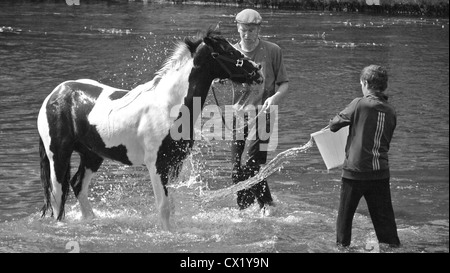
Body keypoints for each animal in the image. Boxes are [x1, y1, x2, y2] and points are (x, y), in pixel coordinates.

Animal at [38, 29, 264, 230]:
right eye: (226, 50)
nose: (257, 70)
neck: (168, 106)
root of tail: (55, 95)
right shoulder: (156, 164)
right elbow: (163, 206)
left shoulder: (174, 163)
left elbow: (171, 205)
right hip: (58, 155)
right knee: (58, 195)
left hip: (92, 155)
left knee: (78, 186)